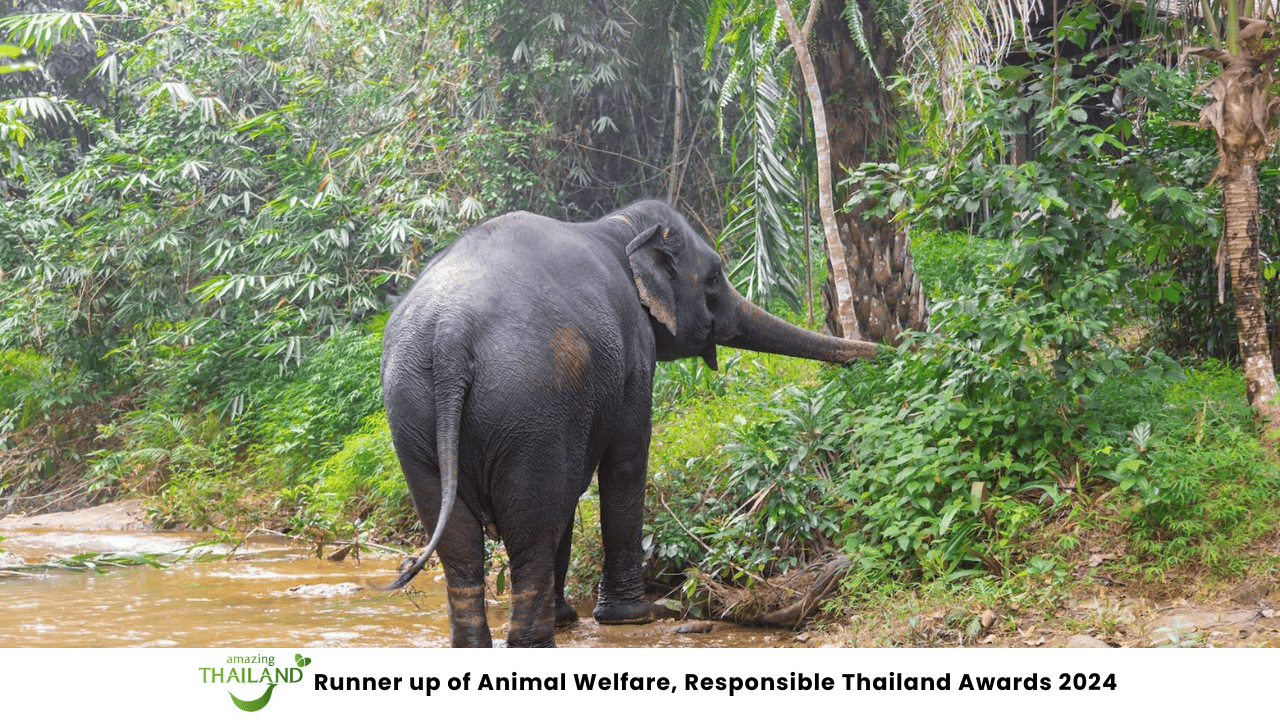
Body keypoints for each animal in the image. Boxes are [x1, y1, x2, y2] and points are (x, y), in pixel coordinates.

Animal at [380, 199, 877, 647]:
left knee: (459, 539)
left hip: (414, 415)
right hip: (526, 406)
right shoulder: (634, 352)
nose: (882, 354)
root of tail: (452, 334)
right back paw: (537, 643)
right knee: (530, 525)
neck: (616, 225)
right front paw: (636, 615)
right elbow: (625, 461)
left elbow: (571, 493)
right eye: (715, 275)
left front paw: (575, 616)